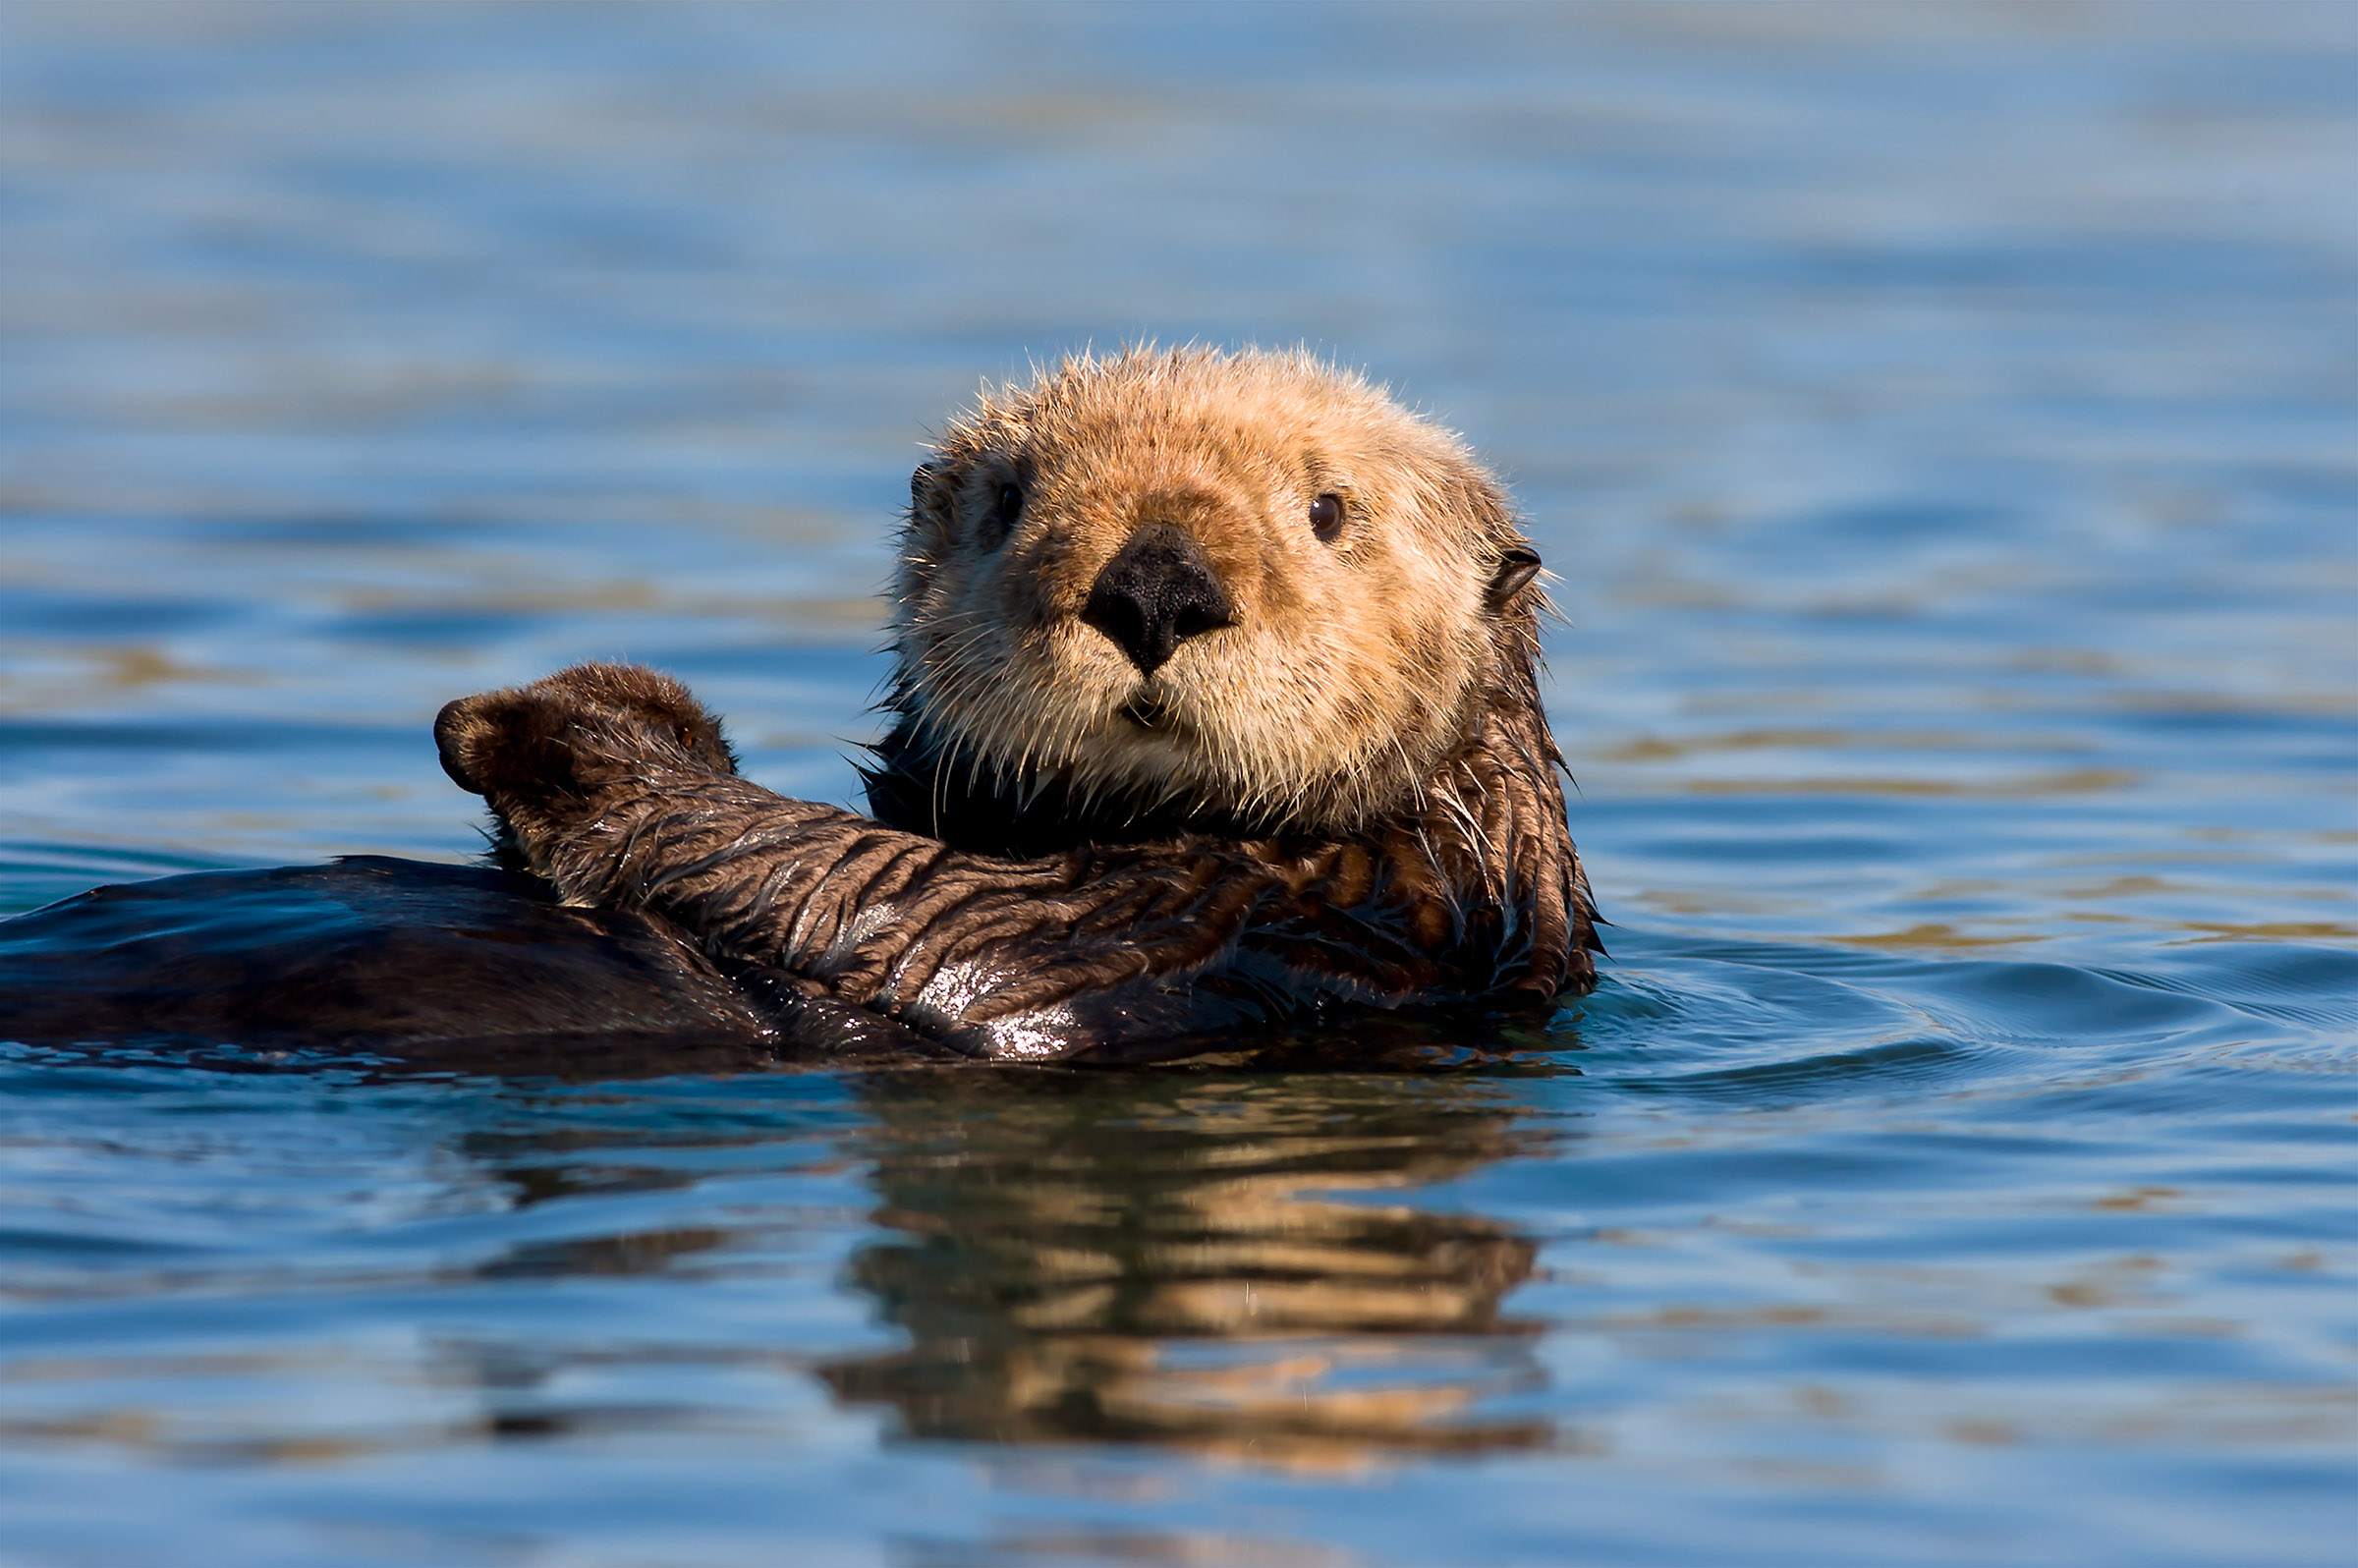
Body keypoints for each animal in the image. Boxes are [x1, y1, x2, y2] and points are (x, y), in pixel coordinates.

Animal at [431, 351, 1594, 1065]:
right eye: (1011, 498)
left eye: (1327, 511)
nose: (1154, 592)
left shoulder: (1255, 928)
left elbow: (909, 902)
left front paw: (557, 732)